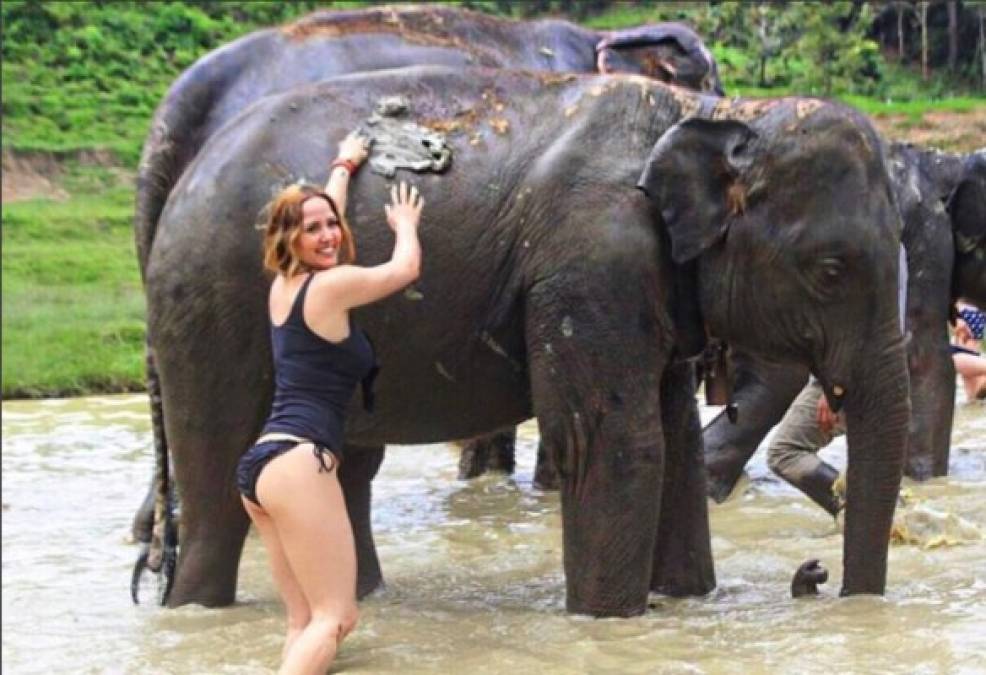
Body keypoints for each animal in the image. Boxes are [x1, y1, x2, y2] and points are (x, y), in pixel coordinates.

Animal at [144, 66, 908, 616]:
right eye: (830, 270)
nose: (815, 575)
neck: (716, 111)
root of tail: (179, 180)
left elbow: (677, 445)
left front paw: (687, 601)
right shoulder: (591, 263)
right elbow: (620, 446)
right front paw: (610, 621)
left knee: (347, 472)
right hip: (209, 308)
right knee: (216, 484)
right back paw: (194, 610)